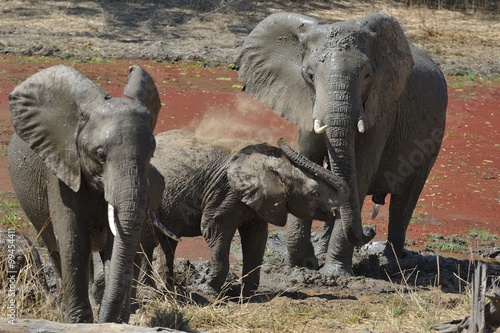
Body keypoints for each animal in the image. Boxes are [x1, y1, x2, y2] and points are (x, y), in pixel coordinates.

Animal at [7, 63, 163, 320]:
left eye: (152, 152)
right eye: (100, 154)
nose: (104, 319)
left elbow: (115, 243)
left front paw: (116, 321)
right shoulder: (61, 170)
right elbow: (73, 242)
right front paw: (78, 321)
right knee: (57, 249)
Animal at [236, 12, 448, 274]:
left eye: (367, 76)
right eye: (310, 75)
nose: (370, 229)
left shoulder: (382, 111)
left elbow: (361, 171)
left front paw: (334, 273)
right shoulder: (306, 102)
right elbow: (310, 161)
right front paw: (303, 265)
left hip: (433, 134)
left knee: (404, 200)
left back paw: (393, 265)